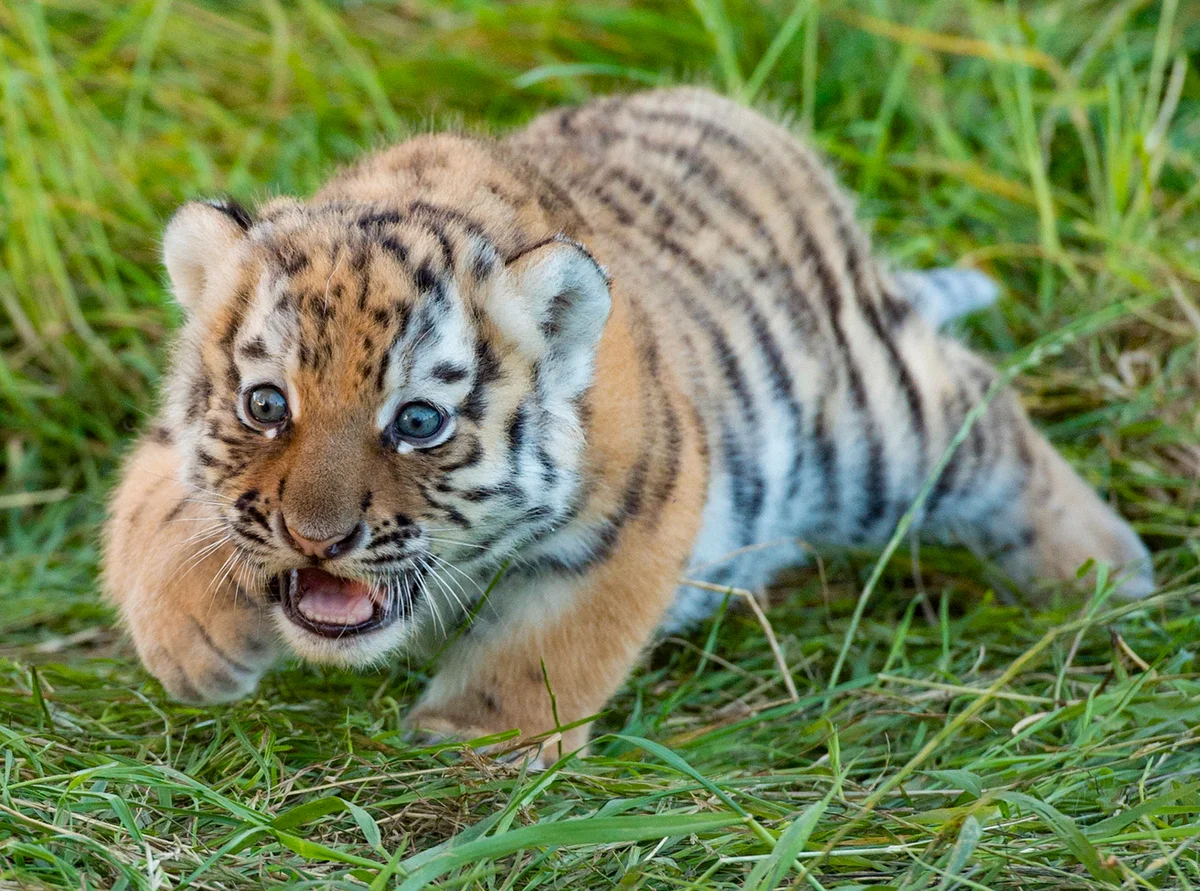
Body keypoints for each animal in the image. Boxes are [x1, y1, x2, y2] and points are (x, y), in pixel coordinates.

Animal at [103, 87, 1153, 764]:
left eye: (418, 421)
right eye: (266, 405)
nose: (317, 538)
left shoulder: (651, 495)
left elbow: (556, 640)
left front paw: (478, 743)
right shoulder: (175, 446)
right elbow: (155, 515)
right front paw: (195, 645)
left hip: (874, 426)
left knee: (989, 414)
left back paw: (1109, 578)